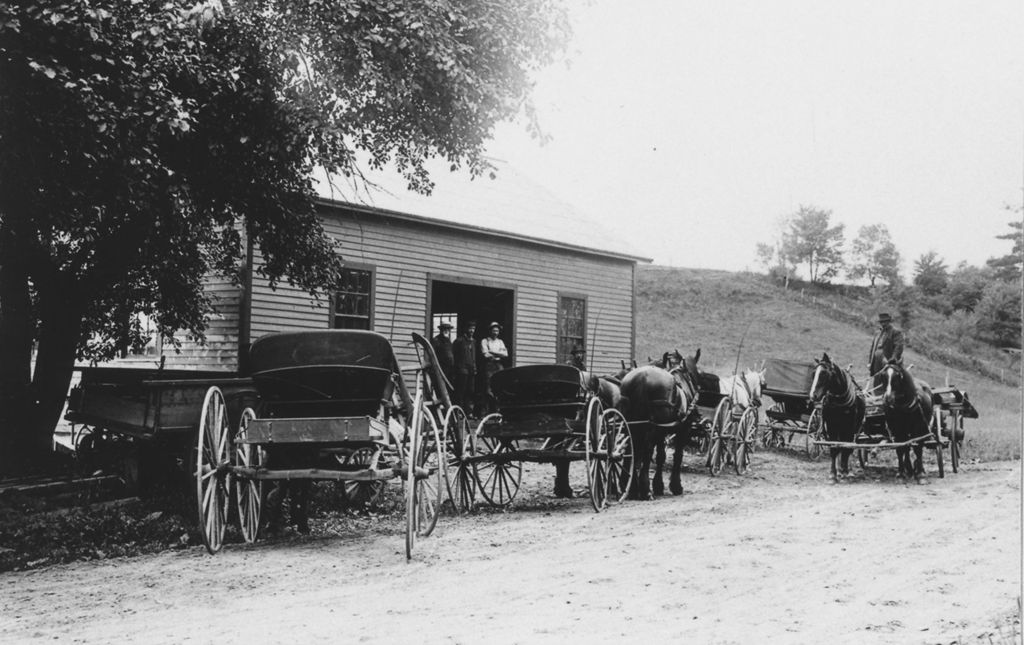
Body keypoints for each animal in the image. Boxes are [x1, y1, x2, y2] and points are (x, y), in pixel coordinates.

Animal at [614, 348, 704, 499]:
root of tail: (641, 378)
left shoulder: (662, 431)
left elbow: (661, 456)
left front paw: (658, 485)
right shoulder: (682, 430)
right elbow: (677, 456)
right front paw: (675, 486)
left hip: (632, 424)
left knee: (631, 451)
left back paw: (630, 487)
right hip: (652, 428)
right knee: (646, 451)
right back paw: (644, 489)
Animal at [806, 354, 864, 485]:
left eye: (824, 374)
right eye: (813, 373)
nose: (813, 395)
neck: (839, 402)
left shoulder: (849, 428)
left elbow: (846, 448)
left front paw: (845, 471)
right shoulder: (831, 427)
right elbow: (834, 448)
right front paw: (833, 474)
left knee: (848, 448)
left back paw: (847, 470)